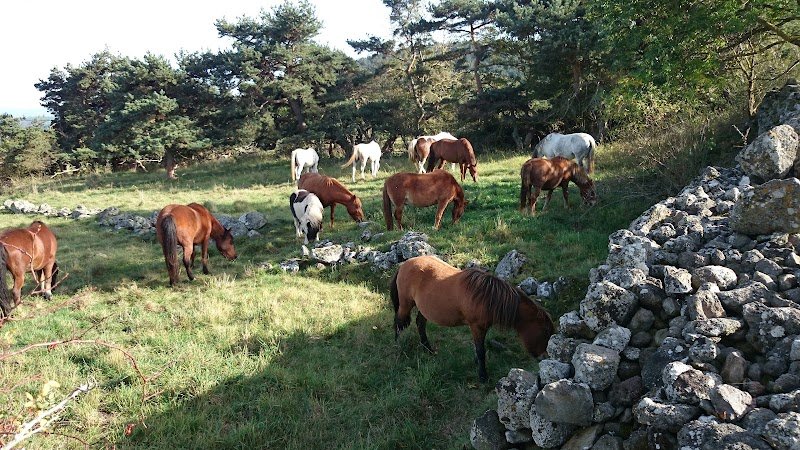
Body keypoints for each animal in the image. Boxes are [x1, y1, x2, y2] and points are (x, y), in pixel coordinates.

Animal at [391, 255, 555, 382]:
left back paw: (428, 349)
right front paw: (483, 376)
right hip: (405, 304)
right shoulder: (477, 326)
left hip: (424, 309)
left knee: (420, 324)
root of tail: (403, 265)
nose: (545, 357)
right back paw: (398, 349)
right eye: (545, 332)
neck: (488, 297)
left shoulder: (482, 328)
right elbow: (481, 350)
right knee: (399, 324)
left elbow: (478, 349)